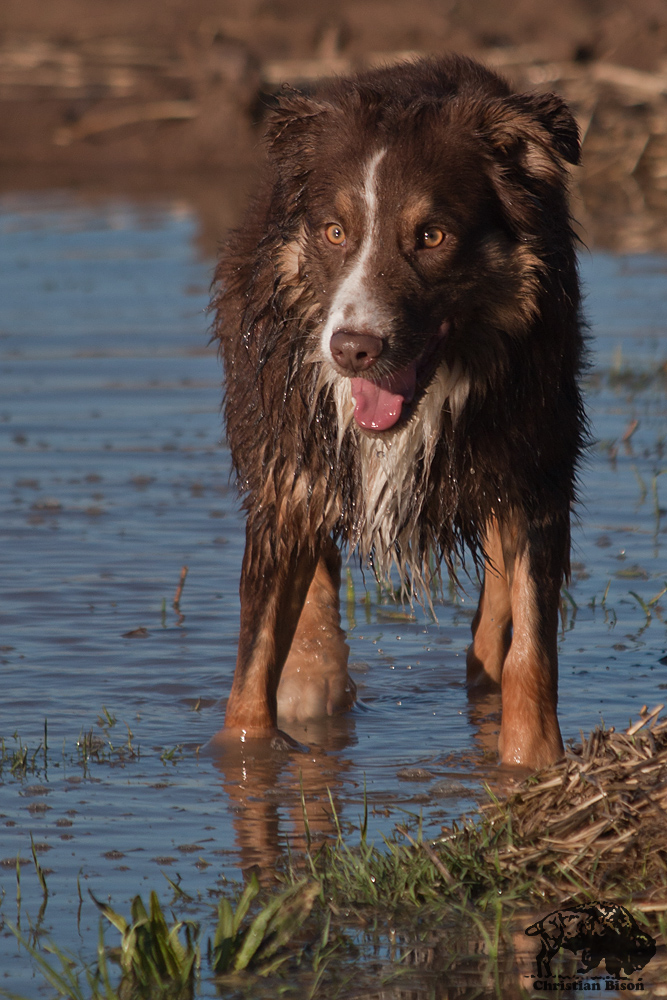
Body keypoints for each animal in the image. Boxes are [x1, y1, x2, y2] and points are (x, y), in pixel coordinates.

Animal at [211, 54, 588, 768]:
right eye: (335, 232)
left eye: (431, 236)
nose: (353, 349)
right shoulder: (288, 465)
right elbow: (253, 663)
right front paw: (248, 761)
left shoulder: (536, 466)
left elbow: (533, 641)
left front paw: (530, 765)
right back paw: (315, 678)